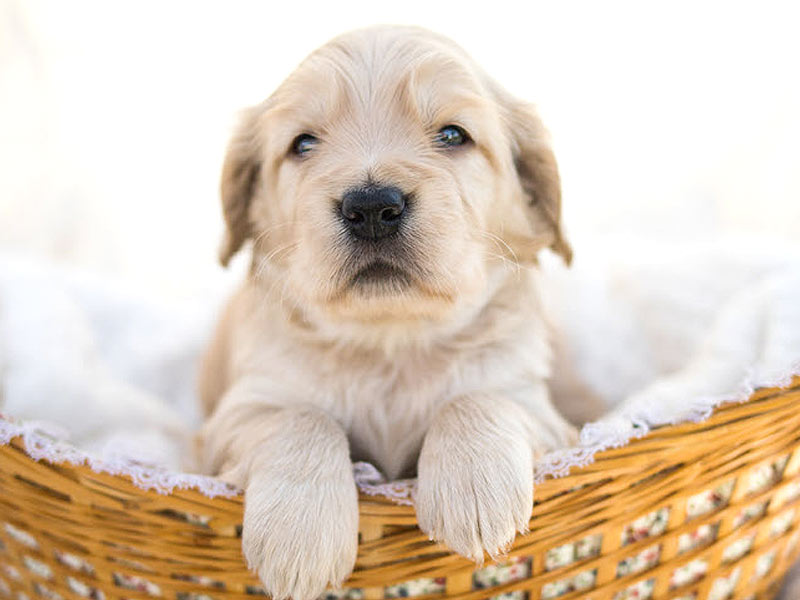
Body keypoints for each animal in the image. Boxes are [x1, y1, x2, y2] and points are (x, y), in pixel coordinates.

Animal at [198, 24, 576, 600]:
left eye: (453, 136)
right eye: (303, 144)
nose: (372, 207)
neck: (390, 343)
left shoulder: (542, 411)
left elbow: (476, 399)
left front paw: (474, 490)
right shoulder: (233, 416)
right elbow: (300, 417)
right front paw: (299, 535)